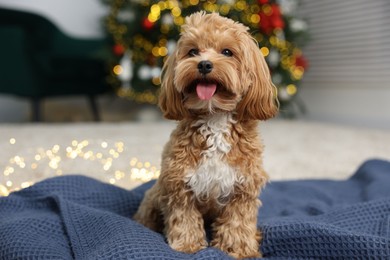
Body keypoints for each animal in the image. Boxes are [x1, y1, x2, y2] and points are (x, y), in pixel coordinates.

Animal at [134, 10, 278, 258]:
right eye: (193, 51)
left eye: (227, 52)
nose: (203, 64)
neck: (214, 117)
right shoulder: (179, 185)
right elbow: (184, 219)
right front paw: (187, 246)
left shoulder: (243, 189)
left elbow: (237, 223)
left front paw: (237, 249)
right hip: (154, 196)